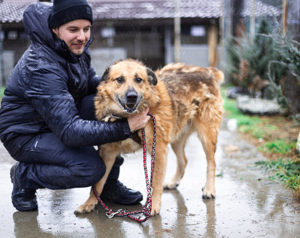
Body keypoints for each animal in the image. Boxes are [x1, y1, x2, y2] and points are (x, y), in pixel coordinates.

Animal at [75, 59, 223, 216]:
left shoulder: (158, 150)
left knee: (211, 163)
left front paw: (153, 206)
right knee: (183, 160)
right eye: (119, 79)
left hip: (206, 134)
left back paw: (209, 189)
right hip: (175, 137)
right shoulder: (107, 152)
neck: (127, 118)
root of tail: (207, 71)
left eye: (138, 79)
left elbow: (156, 181)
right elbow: (98, 183)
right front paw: (89, 203)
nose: (132, 96)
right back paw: (173, 182)